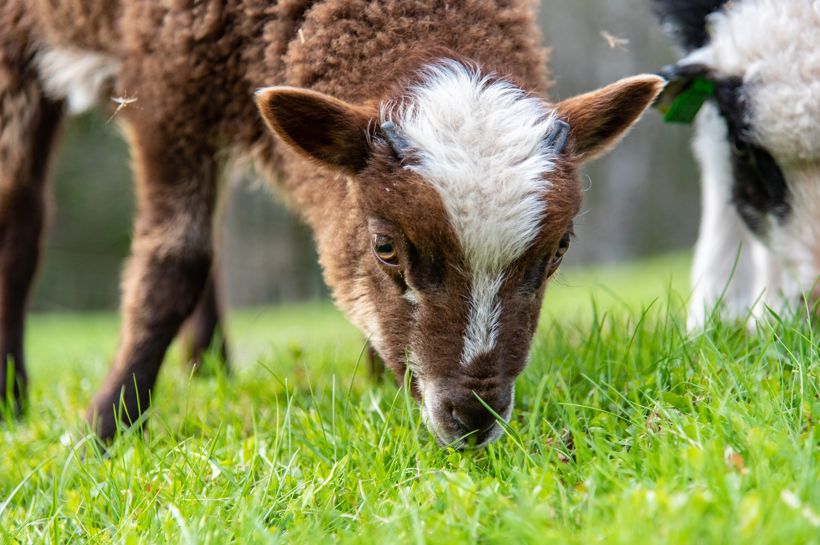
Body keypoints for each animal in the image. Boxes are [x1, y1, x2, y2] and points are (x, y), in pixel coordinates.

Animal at [0, 0, 664, 446]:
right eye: (386, 247)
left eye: (559, 251)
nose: (474, 419)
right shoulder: (166, 79)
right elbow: (172, 263)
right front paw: (106, 428)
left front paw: (378, 384)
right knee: (23, 214)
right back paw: (13, 394)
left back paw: (208, 367)